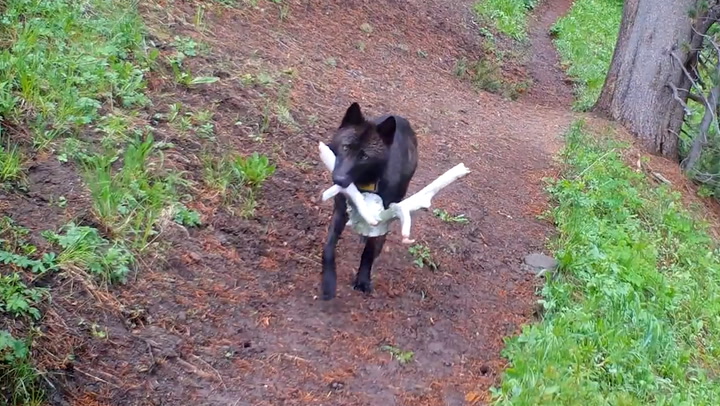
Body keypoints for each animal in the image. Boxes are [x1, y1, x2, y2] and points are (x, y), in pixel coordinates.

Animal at [320, 103, 416, 300]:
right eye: (346, 147)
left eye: (365, 156)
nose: (339, 179)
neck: (364, 185)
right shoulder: (340, 211)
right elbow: (329, 247)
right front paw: (328, 281)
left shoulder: (381, 218)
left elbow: (369, 252)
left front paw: (363, 280)